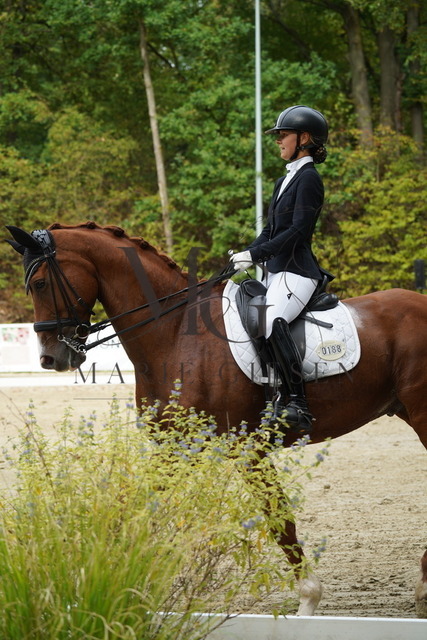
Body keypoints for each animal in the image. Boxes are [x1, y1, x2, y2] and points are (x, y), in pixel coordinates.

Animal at [6, 221, 427, 616]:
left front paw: (308, 599)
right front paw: (103, 579)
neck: (175, 331)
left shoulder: (246, 448)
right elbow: (136, 508)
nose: (51, 358)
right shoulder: (173, 446)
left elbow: (279, 518)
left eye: (40, 283)